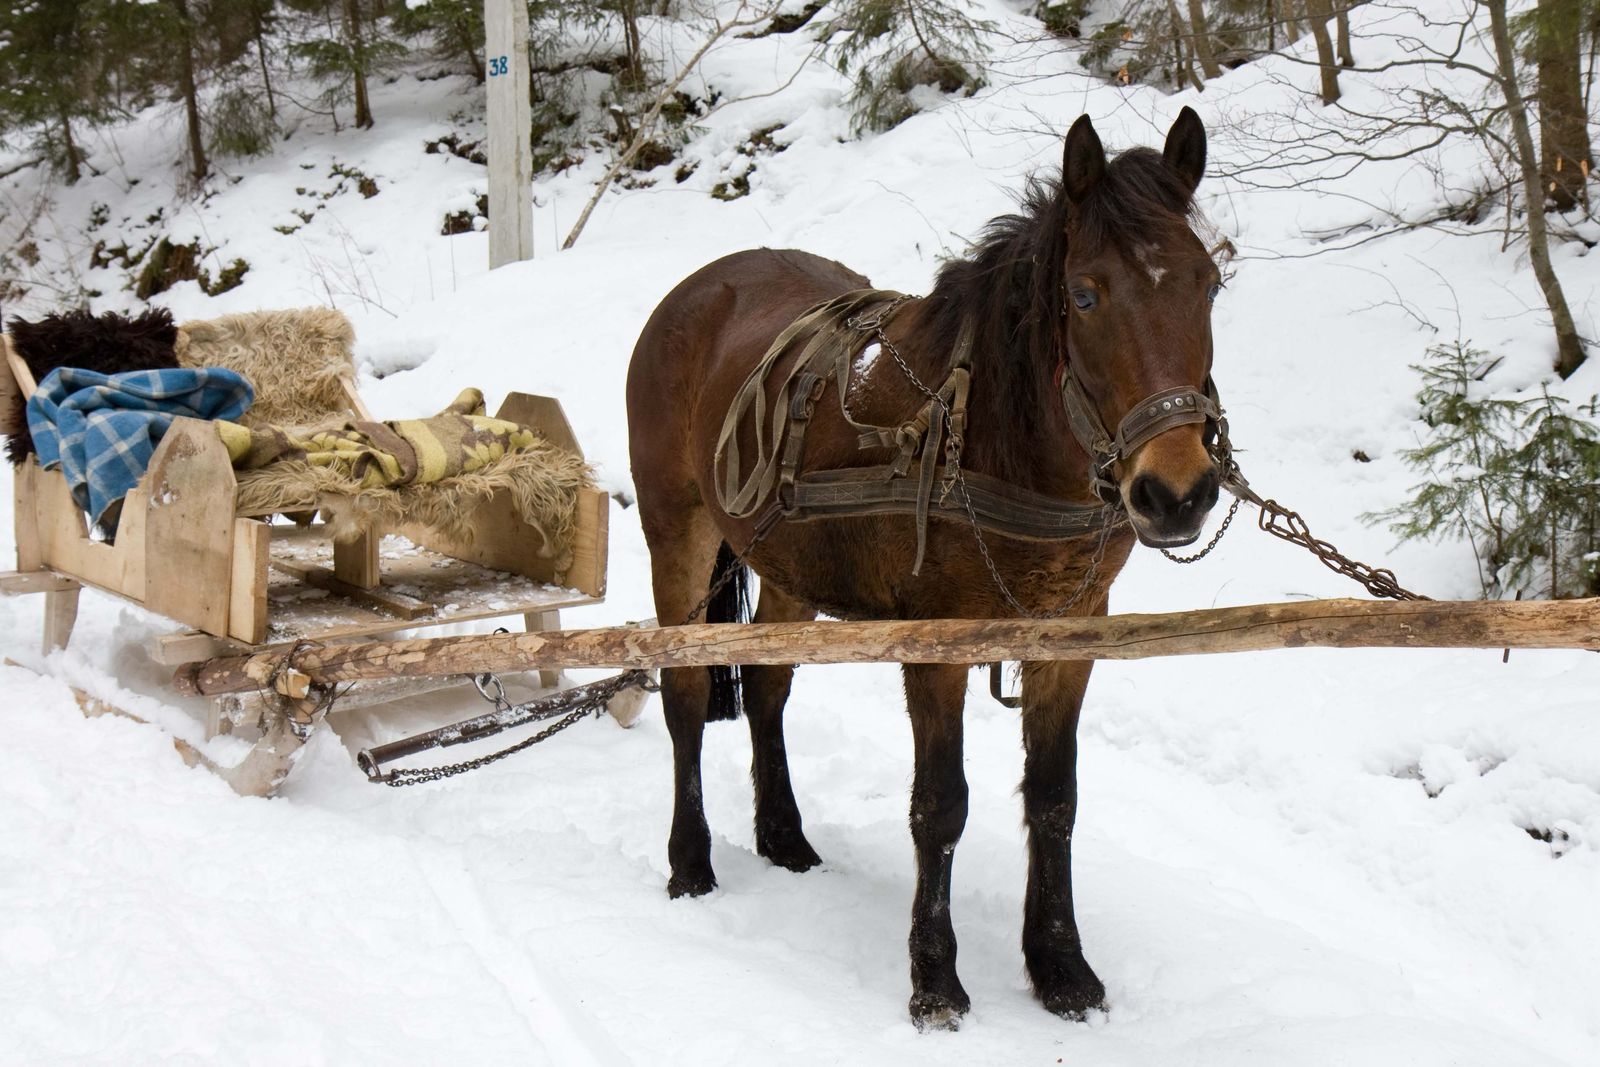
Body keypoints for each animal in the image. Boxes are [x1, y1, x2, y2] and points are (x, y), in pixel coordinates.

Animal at [624, 112, 1222, 1030]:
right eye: (1086, 295)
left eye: (1209, 284)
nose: (1178, 492)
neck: (997, 435)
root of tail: (696, 290)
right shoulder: (934, 646)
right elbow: (941, 805)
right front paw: (935, 978)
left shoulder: (1072, 636)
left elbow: (1055, 797)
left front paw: (1061, 964)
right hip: (677, 535)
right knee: (686, 696)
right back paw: (690, 861)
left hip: (785, 562)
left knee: (767, 687)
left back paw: (784, 834)